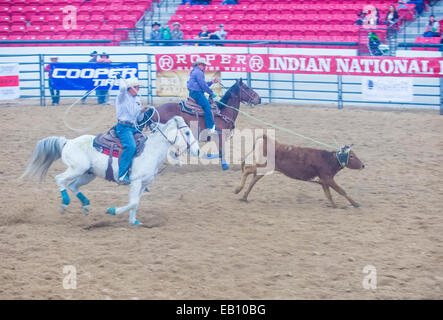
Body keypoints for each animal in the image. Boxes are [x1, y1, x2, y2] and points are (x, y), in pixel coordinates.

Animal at [21, 117, 201, 225]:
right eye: (187, 132)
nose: (198, 151)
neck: (151, 151)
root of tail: (68, 141)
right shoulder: (135, 182)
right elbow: (133, 202)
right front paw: (113, 210)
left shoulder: (143, 184)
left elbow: (135, 203)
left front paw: (133, 221)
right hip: (76, 169)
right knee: (60, 179)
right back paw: (65, 203)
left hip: (88, 174)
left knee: (73, 185)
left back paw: (85, 205)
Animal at [234, 134, 366, 208]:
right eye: (352, 156)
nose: (363, 165)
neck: (329, 159)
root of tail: (269, 140)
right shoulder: (327, 178)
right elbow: (341, 191)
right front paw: (355, 204)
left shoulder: (324, 181)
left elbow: (328, 194)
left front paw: (334, 205)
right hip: (265, 166)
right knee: (247, 170)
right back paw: (238, 189)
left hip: (266, 168)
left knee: (254, 178)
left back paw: (244, 197)